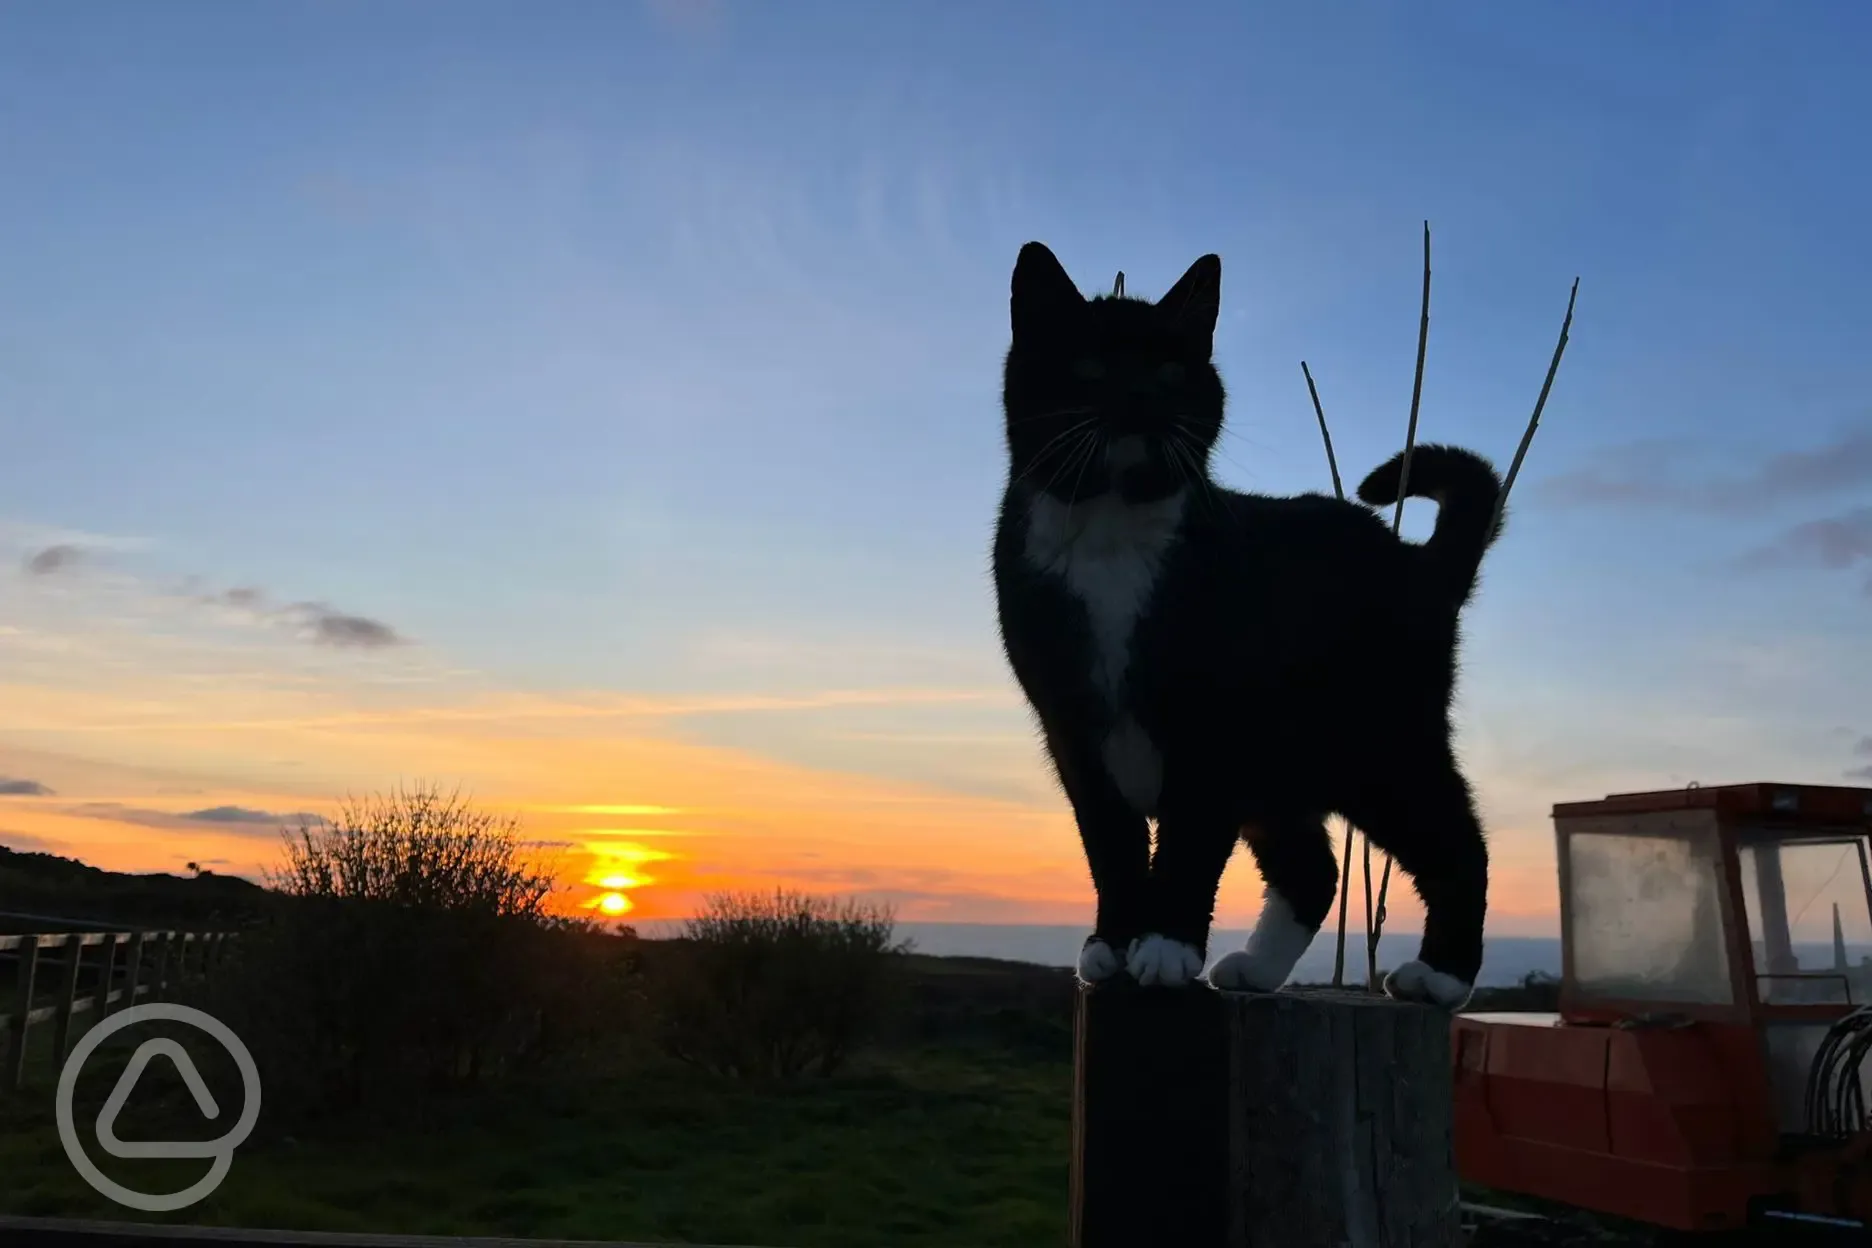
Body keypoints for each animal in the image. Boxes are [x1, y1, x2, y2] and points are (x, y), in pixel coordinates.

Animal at [995, 243, 1505, 1017]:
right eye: (1089, 365)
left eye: (1170, 371)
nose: (1140, 395)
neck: (1111, 533)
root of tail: (1417, 561)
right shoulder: (1070, 727)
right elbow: (1110, 841)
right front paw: (1113, 943)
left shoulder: (1211, 728)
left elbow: (1189, 840)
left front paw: (1165, 946)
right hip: (1287, 764)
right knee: (1313, 867)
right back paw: (1257, 969)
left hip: (1378, 742)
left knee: (1455, 838)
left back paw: (1440, 975)